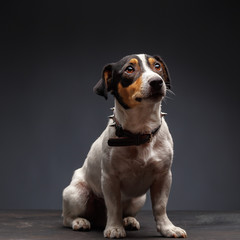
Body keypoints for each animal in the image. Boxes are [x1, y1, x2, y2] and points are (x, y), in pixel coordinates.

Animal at [62, 53, 188, 238]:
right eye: (129, 69)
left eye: (157, 66)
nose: (157, 81)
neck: (139, 133)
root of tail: (100, 219)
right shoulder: (110, 179)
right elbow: (114, 206)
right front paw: (115, 228)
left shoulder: (163, 176)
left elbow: (160, 206)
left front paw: (167, 228)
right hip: (76, 193)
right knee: (67, 217)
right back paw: (79, 221)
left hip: (138, 199)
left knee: (125, 211)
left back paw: (128, 220)